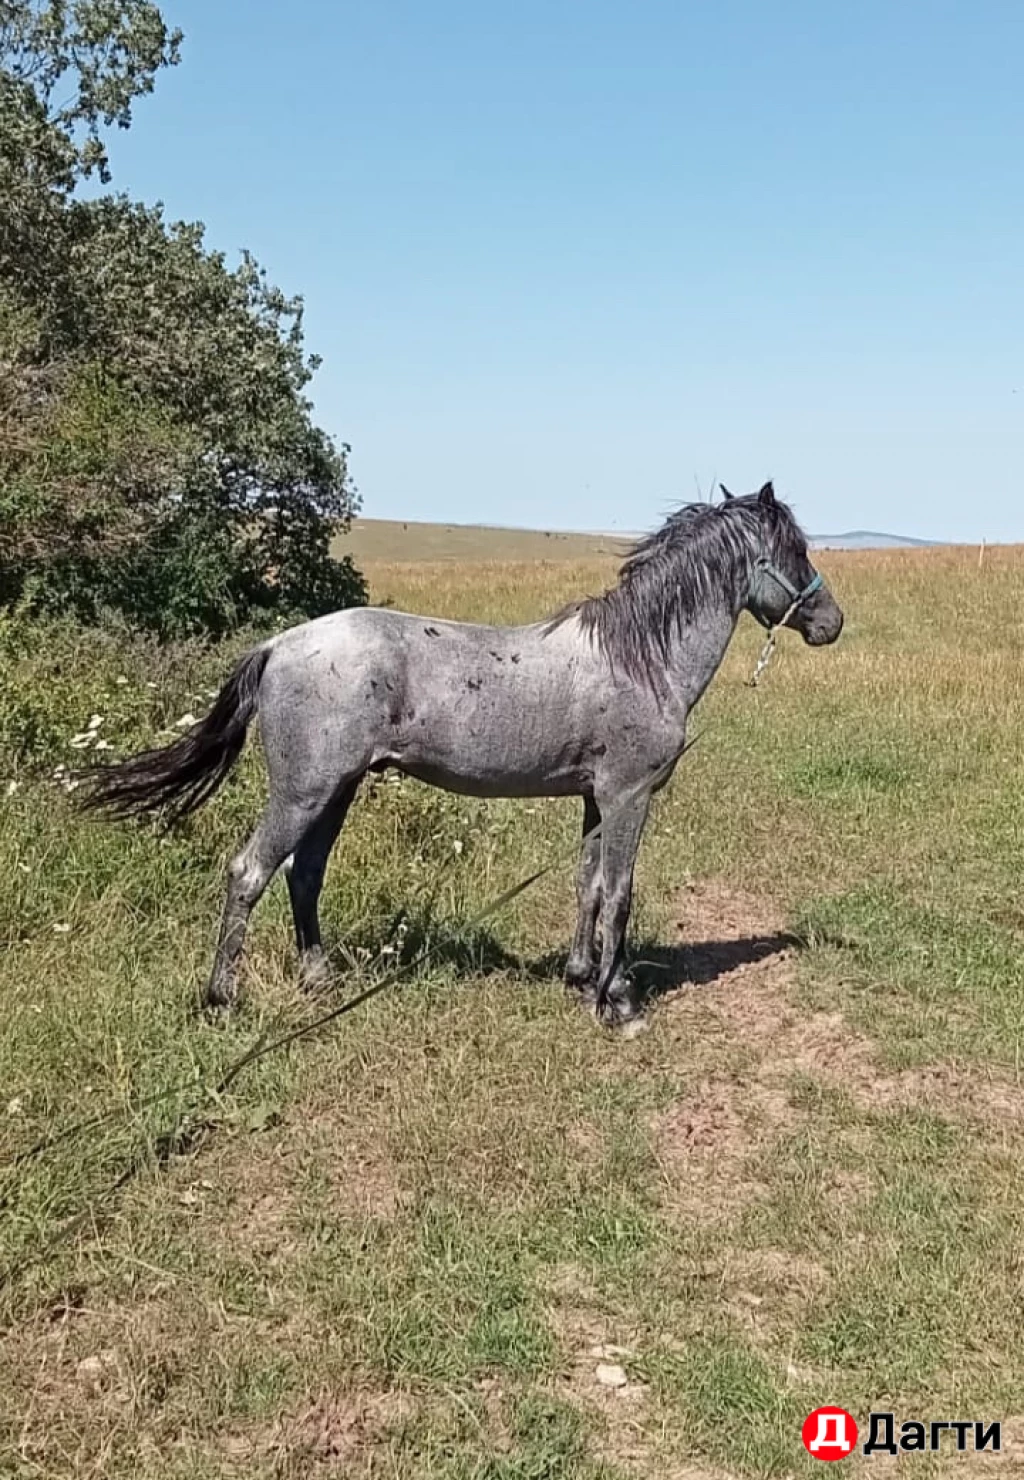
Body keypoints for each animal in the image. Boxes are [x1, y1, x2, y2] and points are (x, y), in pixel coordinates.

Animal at [79, 481, 843, 1032]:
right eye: (798, 549)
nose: (832, 622)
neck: (641, 659)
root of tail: (279, 645)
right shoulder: (628, 796)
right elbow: (620, 893)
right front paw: (618, 1004)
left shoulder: (596, 799)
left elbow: (589, 888)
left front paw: (582, 980)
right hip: (303, 791)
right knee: (249, 873)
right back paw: (222, 999)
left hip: (337, 790)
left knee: (305, 875)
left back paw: (318, 979)